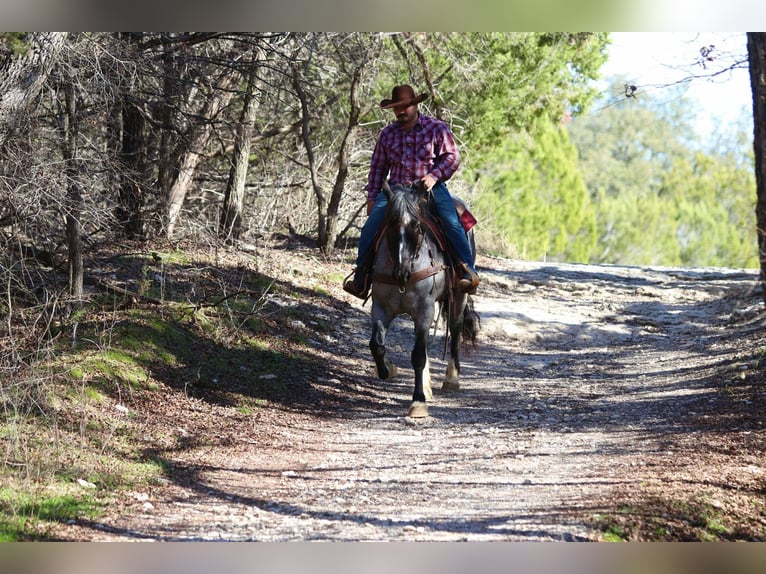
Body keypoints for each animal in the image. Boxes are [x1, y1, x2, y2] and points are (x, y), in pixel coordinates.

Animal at [368, 182, 480, 418]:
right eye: (389, 224)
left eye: (417, 225)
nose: (400, 272)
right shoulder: (380, 308)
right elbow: (377, 346)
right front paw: (388, 370)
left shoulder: (424, 309)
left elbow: (418, 355)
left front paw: (418, 401)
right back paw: (428, 386)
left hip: (459, 296)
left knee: (455, 330)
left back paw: (451, 379)